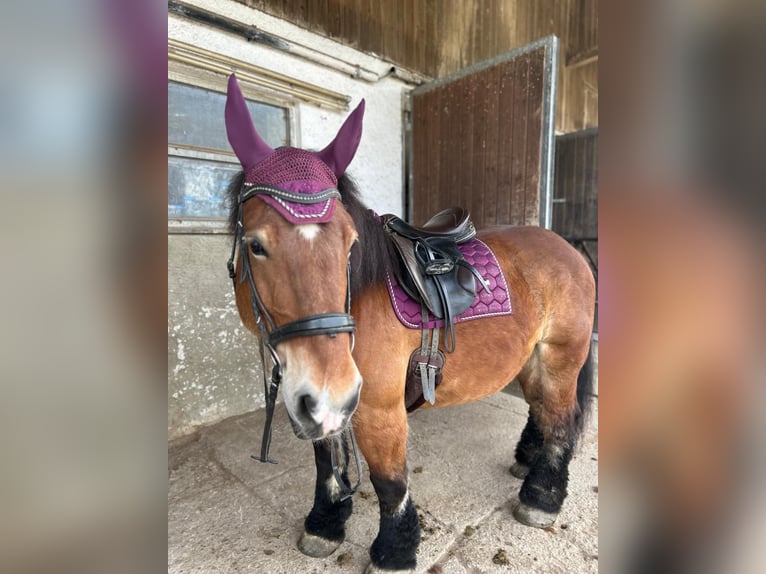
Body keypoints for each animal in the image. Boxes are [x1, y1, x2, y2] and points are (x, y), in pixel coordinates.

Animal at [223, 74, 595, 573]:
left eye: (350, 245)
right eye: (256, 245)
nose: (328, 385)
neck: (357, 301)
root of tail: (567, 247)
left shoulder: (376, 407)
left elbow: (389, 481)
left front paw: (395, 552)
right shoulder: (318, 401)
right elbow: (327, 463)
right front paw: (325, 524)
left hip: (561, 355)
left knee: (561, 416)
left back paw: (541, 497)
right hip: (532, 357)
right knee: (541, 407)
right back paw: (527, 461)